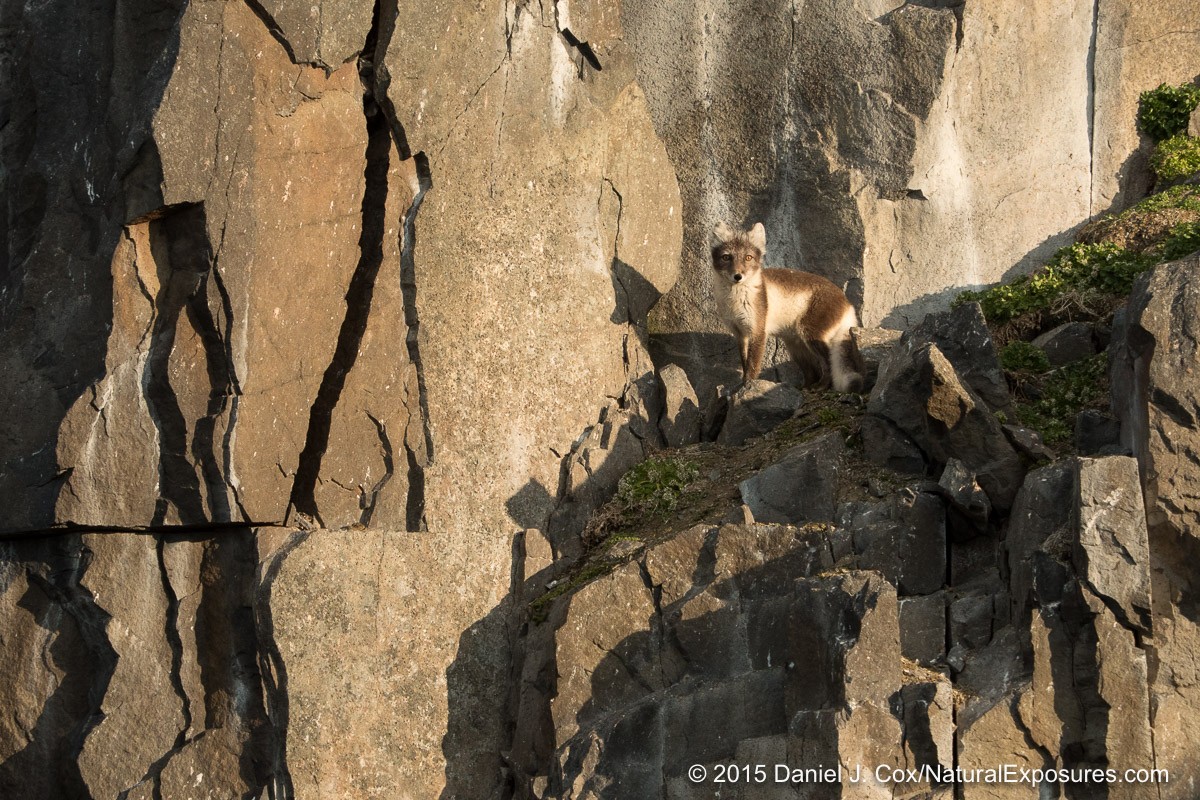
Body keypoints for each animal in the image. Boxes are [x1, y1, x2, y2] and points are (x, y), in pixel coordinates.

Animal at [711, 221, 864, 392]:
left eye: (748, 258)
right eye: (726, 257)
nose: (738, 276)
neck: (735, 300)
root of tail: (847, 303)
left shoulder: (757, 331)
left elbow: (752, 365)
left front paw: (748, 386)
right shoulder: (740, 333)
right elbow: (744, 363)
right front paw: (742, 384)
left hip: (811, 334)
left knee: (827, 363)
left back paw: (821, 386)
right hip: (795, 346)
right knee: (811, 371)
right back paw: (803, 387)